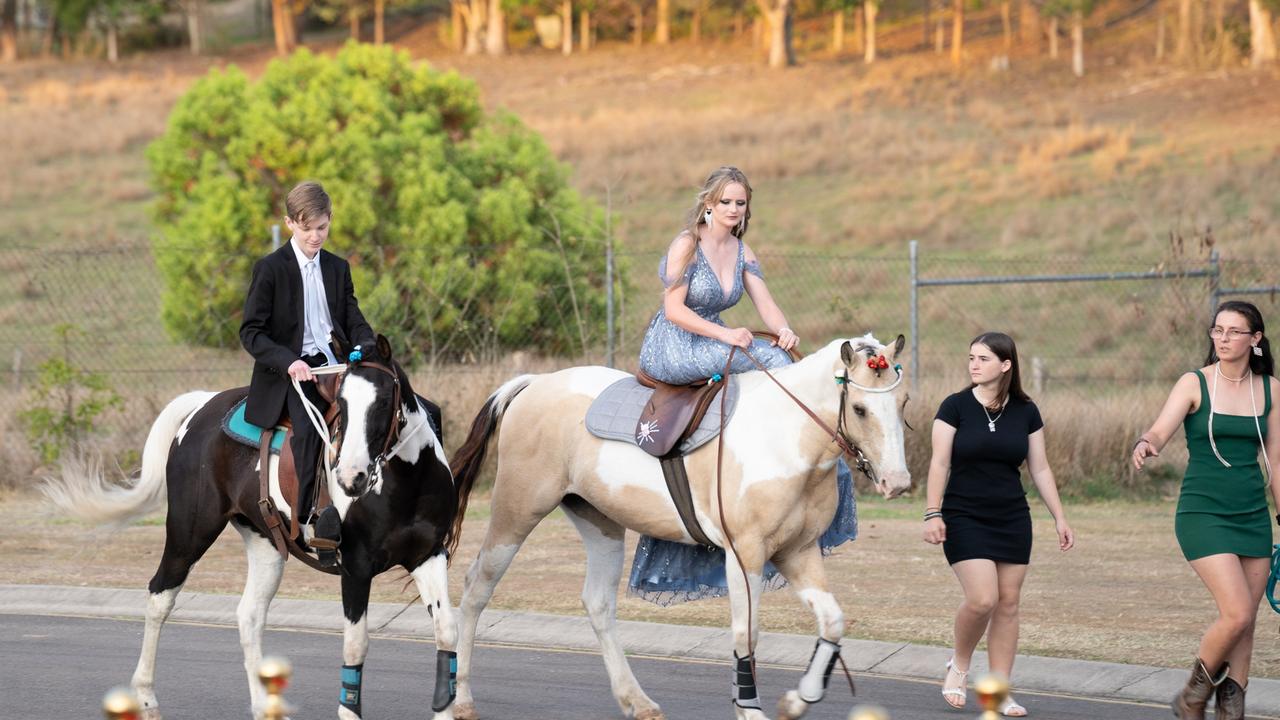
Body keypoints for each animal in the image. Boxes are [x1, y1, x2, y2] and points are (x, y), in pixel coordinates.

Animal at [46, 338, 465, 717]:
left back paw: (265, 705)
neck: (405, 482)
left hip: (264, 543)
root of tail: (203, 406)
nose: (351, 477)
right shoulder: (356, 566)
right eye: (342, 406)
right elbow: (355, 644)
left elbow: (446, 631)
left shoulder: (428, 556)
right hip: (189, 532)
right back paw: (147, 699)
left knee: (249, 613)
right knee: (159, 597)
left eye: (382, 402)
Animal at [445, 333, 916, 712]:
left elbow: (832, 621)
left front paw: (800, 699)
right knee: (476, 587)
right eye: (860, 408)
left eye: (903, 402)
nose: (897, 482)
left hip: (600, 523)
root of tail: (535, 383)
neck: (786, 438)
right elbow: (746, 637)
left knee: (598, 603)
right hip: (517, 511)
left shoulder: (797, 553)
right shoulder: (745, 556)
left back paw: (637, 702)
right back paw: (459, 699)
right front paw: (752, 710)